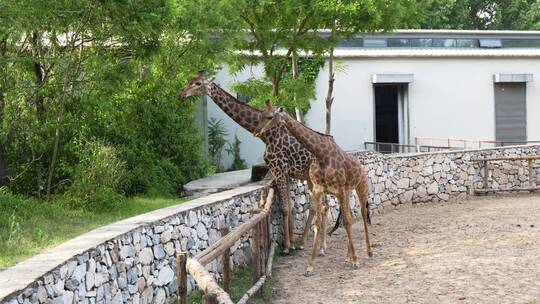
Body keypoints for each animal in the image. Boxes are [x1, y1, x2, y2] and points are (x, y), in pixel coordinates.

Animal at [181, 71, 334, 254]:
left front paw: (286, 247)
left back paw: (322, 246)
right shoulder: (283, 172)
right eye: (189, 80)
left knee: (323, 206)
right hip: (311, 178)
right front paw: (290, 243)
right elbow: (289, 206)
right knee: (319, 206)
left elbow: (285, 207)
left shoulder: (279, 169)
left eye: (197, 83)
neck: (266, 136)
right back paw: (307, 243)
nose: (182, 93)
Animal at [253, 101, 372, 276]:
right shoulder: (318, 189)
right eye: (261, 115)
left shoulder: (338, 189)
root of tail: (361, 167)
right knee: (350, 215)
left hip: (361, 187)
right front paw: (310, 266)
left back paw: (368, 252)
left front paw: (356, 261)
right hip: (347, 192)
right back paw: (347, 257)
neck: (320, 154)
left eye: (269, 116)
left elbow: (347, 222)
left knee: (363, 214)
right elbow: (318, 223)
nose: (256, 131)